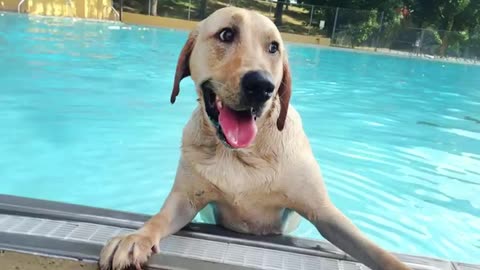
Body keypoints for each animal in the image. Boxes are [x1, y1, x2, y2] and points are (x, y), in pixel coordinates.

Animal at [99, 6, 410, 270]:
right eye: (226, 34)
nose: (261, 86)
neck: (241, 153)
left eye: (274, 47)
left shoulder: (323, 213)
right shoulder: (185, 200)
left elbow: (373, 249)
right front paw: (135, 238)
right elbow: (160, 218)